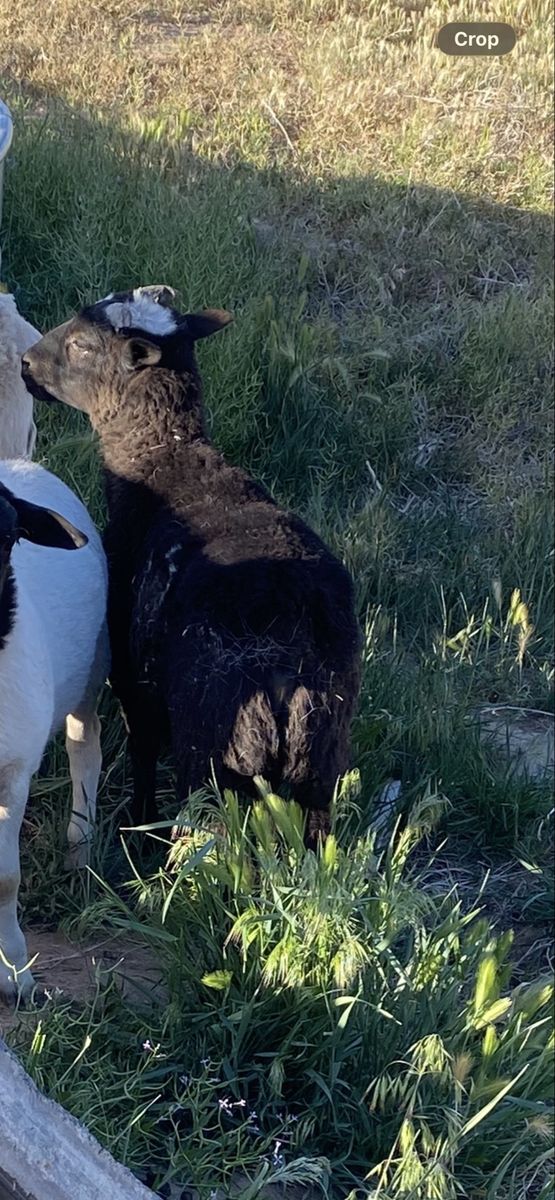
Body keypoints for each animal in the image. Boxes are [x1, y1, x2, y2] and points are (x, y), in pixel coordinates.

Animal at [22, 286, 361, 849]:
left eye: (82, 346)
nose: (25, 364)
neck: (168, 461)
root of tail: (287, 644)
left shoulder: (132, 671)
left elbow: (140, 751)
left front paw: (137, 826)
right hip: (321, 756)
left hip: (214, 750)